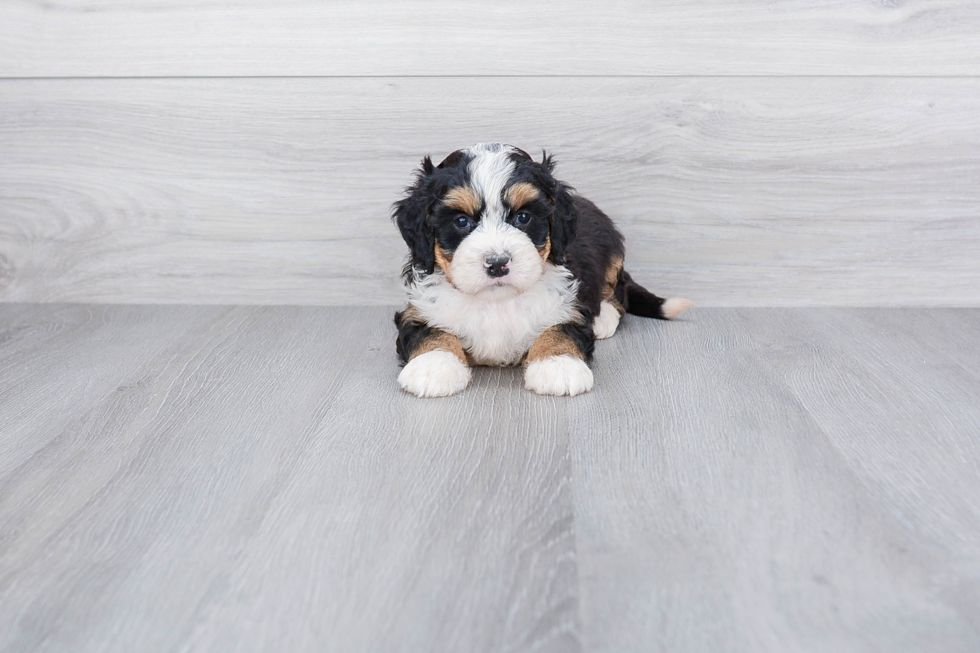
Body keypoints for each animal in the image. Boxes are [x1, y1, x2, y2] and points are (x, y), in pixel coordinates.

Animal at [390, 143, 688, 398]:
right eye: (461, 221)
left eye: (523, 217)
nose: (497, 263)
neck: (497, 301)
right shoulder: (419, 307)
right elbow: (430, 331)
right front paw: (433, 365)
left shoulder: (567, 303)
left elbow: (561, 329)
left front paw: (558, 364)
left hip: (612, 253)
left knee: (619, 291)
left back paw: (604, 316)